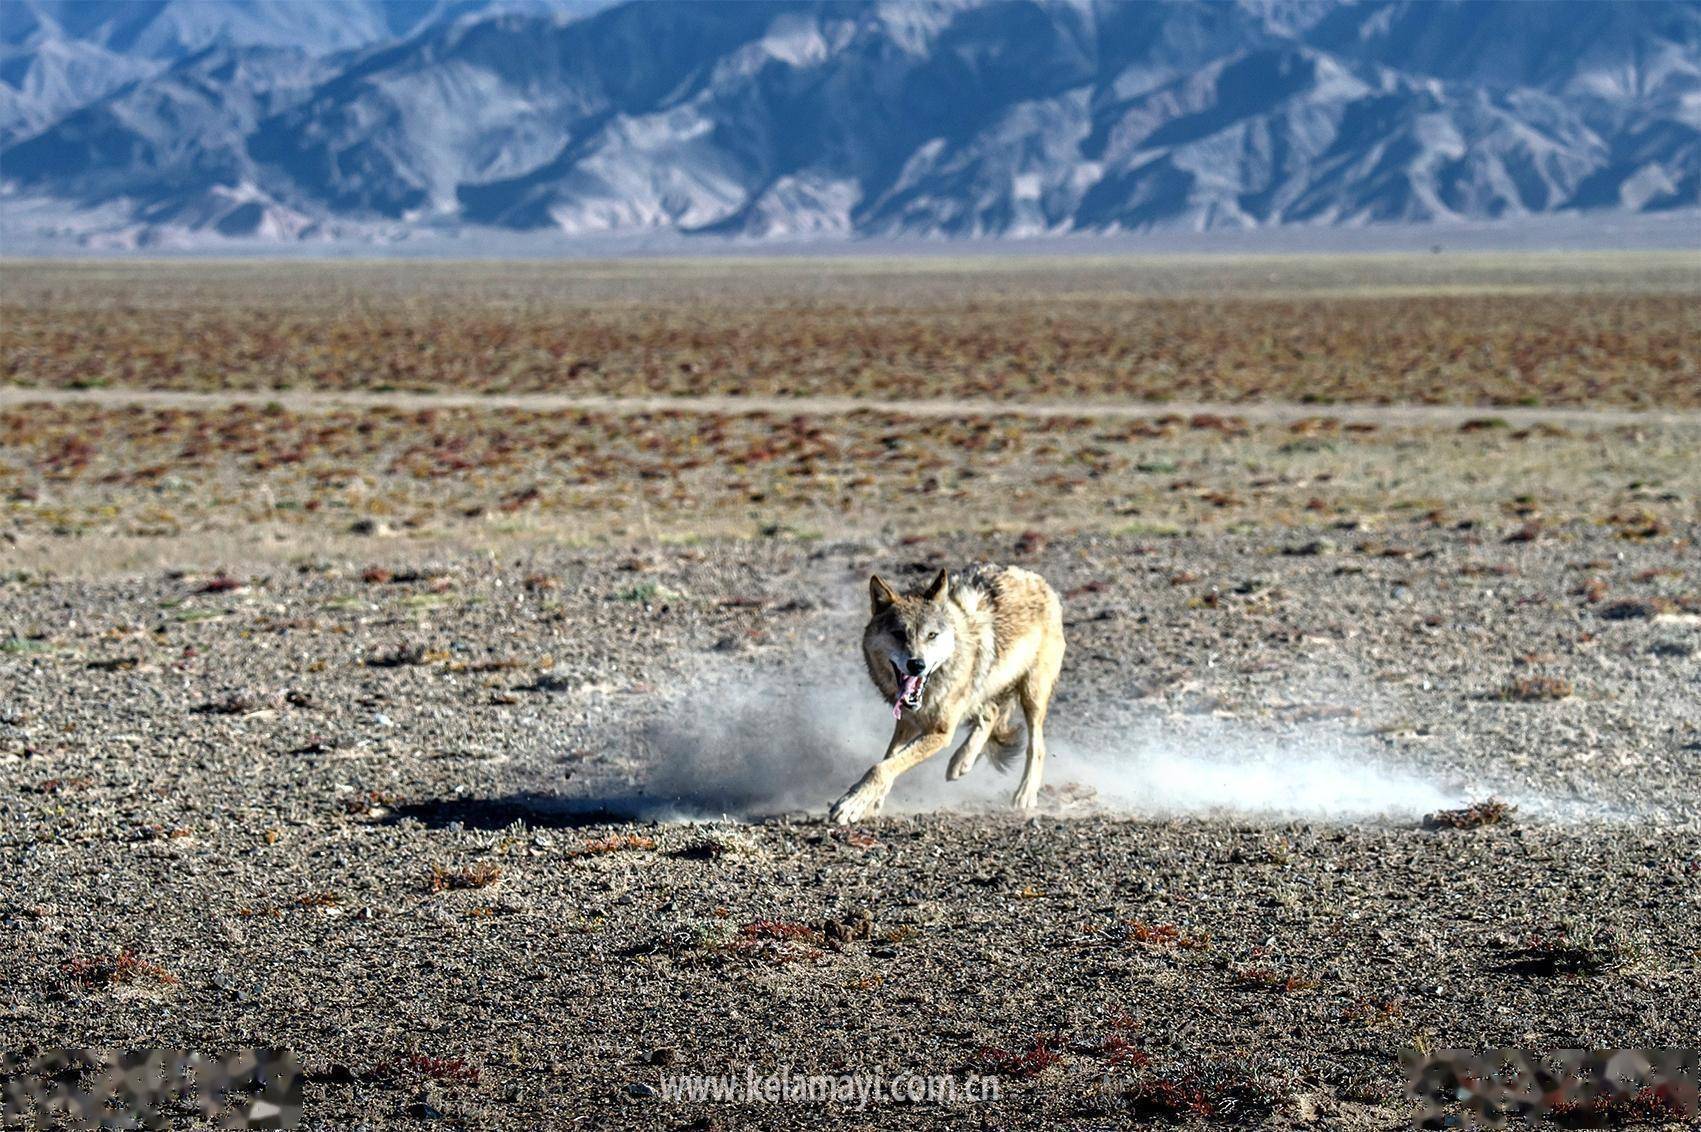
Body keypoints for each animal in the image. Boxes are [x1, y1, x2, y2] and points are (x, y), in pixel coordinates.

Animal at [826, 561, 1061, 820]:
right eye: (898, 634)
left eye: (931, 635)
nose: (917, 664)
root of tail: (1038, 579)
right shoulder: (907, 721)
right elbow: (889, 759)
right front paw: (870, 803)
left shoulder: (940, 731)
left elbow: (881, 767)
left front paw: (852, 803)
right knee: (991, 712)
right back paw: (962, 761)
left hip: (1032, 694)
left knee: (1036, 746)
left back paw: (1025, 794)